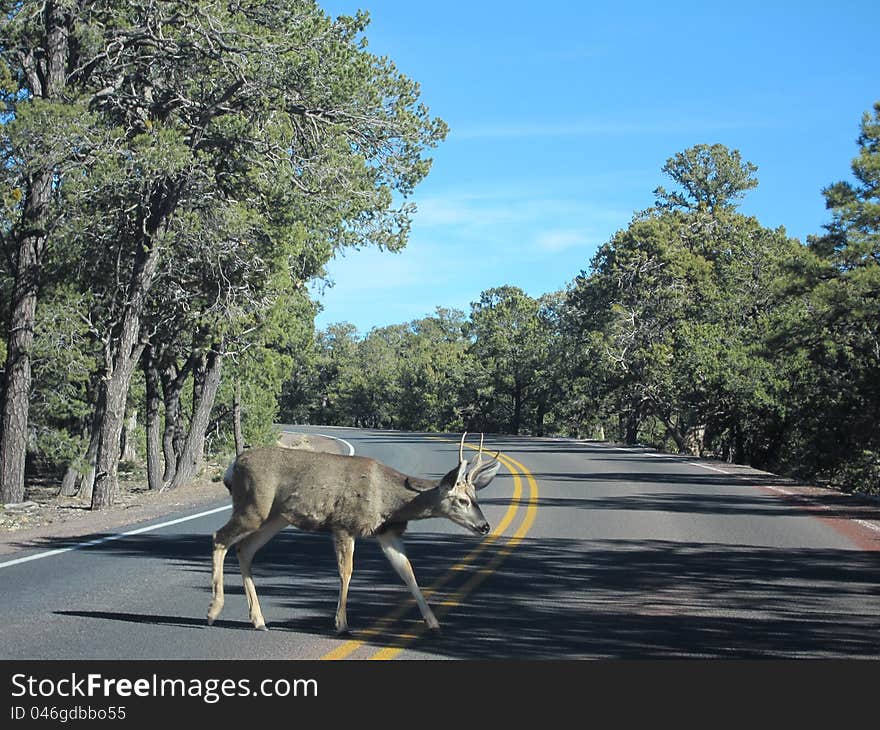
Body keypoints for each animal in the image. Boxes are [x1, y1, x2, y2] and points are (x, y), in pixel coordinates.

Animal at [202, 432, 498, 632]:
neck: (389, 500)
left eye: (476, 497)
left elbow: (408, 572)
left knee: (244, 549)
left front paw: (433, 622)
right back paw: (214, 611)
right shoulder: (344, 524)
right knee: (219, 538)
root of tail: (232, 467)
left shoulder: (387, 533)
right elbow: (347, 572)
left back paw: (259, 620)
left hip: (276, 517)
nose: (484, 526)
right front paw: (341, 622)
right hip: (253, 506)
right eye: (462, 500)